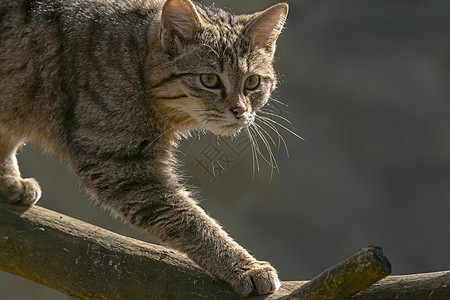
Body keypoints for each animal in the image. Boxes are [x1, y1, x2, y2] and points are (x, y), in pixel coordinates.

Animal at [0, 0, 288, 296]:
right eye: (209, 79)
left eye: (252, 82)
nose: (240, 111)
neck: (135, 61)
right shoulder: (119, 164)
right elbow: (189, 220)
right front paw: (243, 266)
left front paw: (7, 180)